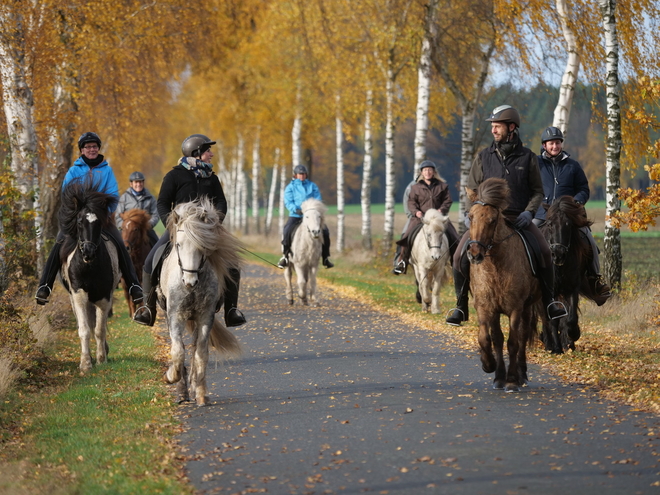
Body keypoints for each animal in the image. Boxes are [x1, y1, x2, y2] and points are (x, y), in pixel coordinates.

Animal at [59, 181, 121, 372]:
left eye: (99, 222)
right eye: (79, 222)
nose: (88, 252)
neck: (89, 266)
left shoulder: (104, 296)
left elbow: (100, 329)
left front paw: (101, 359)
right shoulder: (79, 294)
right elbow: (84, 329)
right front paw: (86, 363)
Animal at [157, 198, 242, 406]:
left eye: (202, 247)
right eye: (178, 245)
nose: (189, 281)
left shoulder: (205, 316)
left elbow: (201, 354)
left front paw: (202, 393)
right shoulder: (175, 316)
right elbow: (178, 352)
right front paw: (171, 378)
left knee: (195, 348)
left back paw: (195, 386)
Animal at [464, 178, 540, 392]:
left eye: (492, 220)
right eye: (470, 216)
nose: (474, 254)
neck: (495, 266)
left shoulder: (515, 308)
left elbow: (513, 342)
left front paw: (512, 380)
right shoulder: (485, 306)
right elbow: (488, 338)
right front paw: (491, 368)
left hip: (527, 307)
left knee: (523, 336)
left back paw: (522, 375)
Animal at [540, 196, 592, 354]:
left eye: (568, 225)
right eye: (550, 224)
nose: (558, 254)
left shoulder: (572, 288)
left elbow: (570, 317)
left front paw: (572, 335)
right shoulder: (550, 291)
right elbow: (553, 318)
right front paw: (556, 348)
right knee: (544, 317)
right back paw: (548, 343)